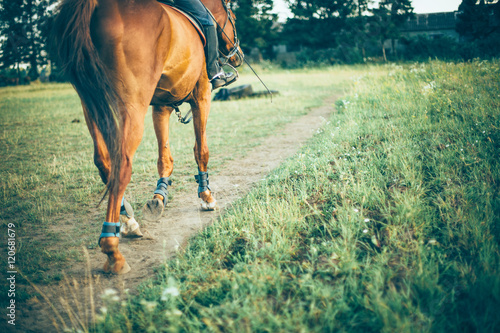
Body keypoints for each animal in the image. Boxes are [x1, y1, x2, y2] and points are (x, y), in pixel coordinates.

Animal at [52, 0, 244, 272]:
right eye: (233, 18)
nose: (238, 56)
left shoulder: (161, 105)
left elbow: (165, 158)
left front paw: (159, 196)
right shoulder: (201, 96)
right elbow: (201, 151)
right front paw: (206, 196)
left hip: (91, 104)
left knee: (104, 162)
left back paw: (128, 221)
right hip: (132, 106)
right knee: (121, 166)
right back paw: (112, 249)